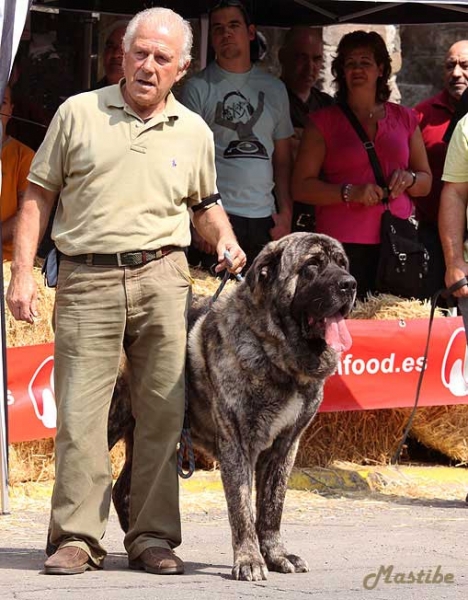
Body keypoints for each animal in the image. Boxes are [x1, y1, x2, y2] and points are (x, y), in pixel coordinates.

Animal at [109, 233, 354, 580]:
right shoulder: (237, 443)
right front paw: (249, 560)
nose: (350, 284)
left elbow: (272, 507)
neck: (275, 353)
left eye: (342, 263)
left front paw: (277, 556)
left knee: (125, 489)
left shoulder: (285, 446)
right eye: (312, 265)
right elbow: (242, 508)